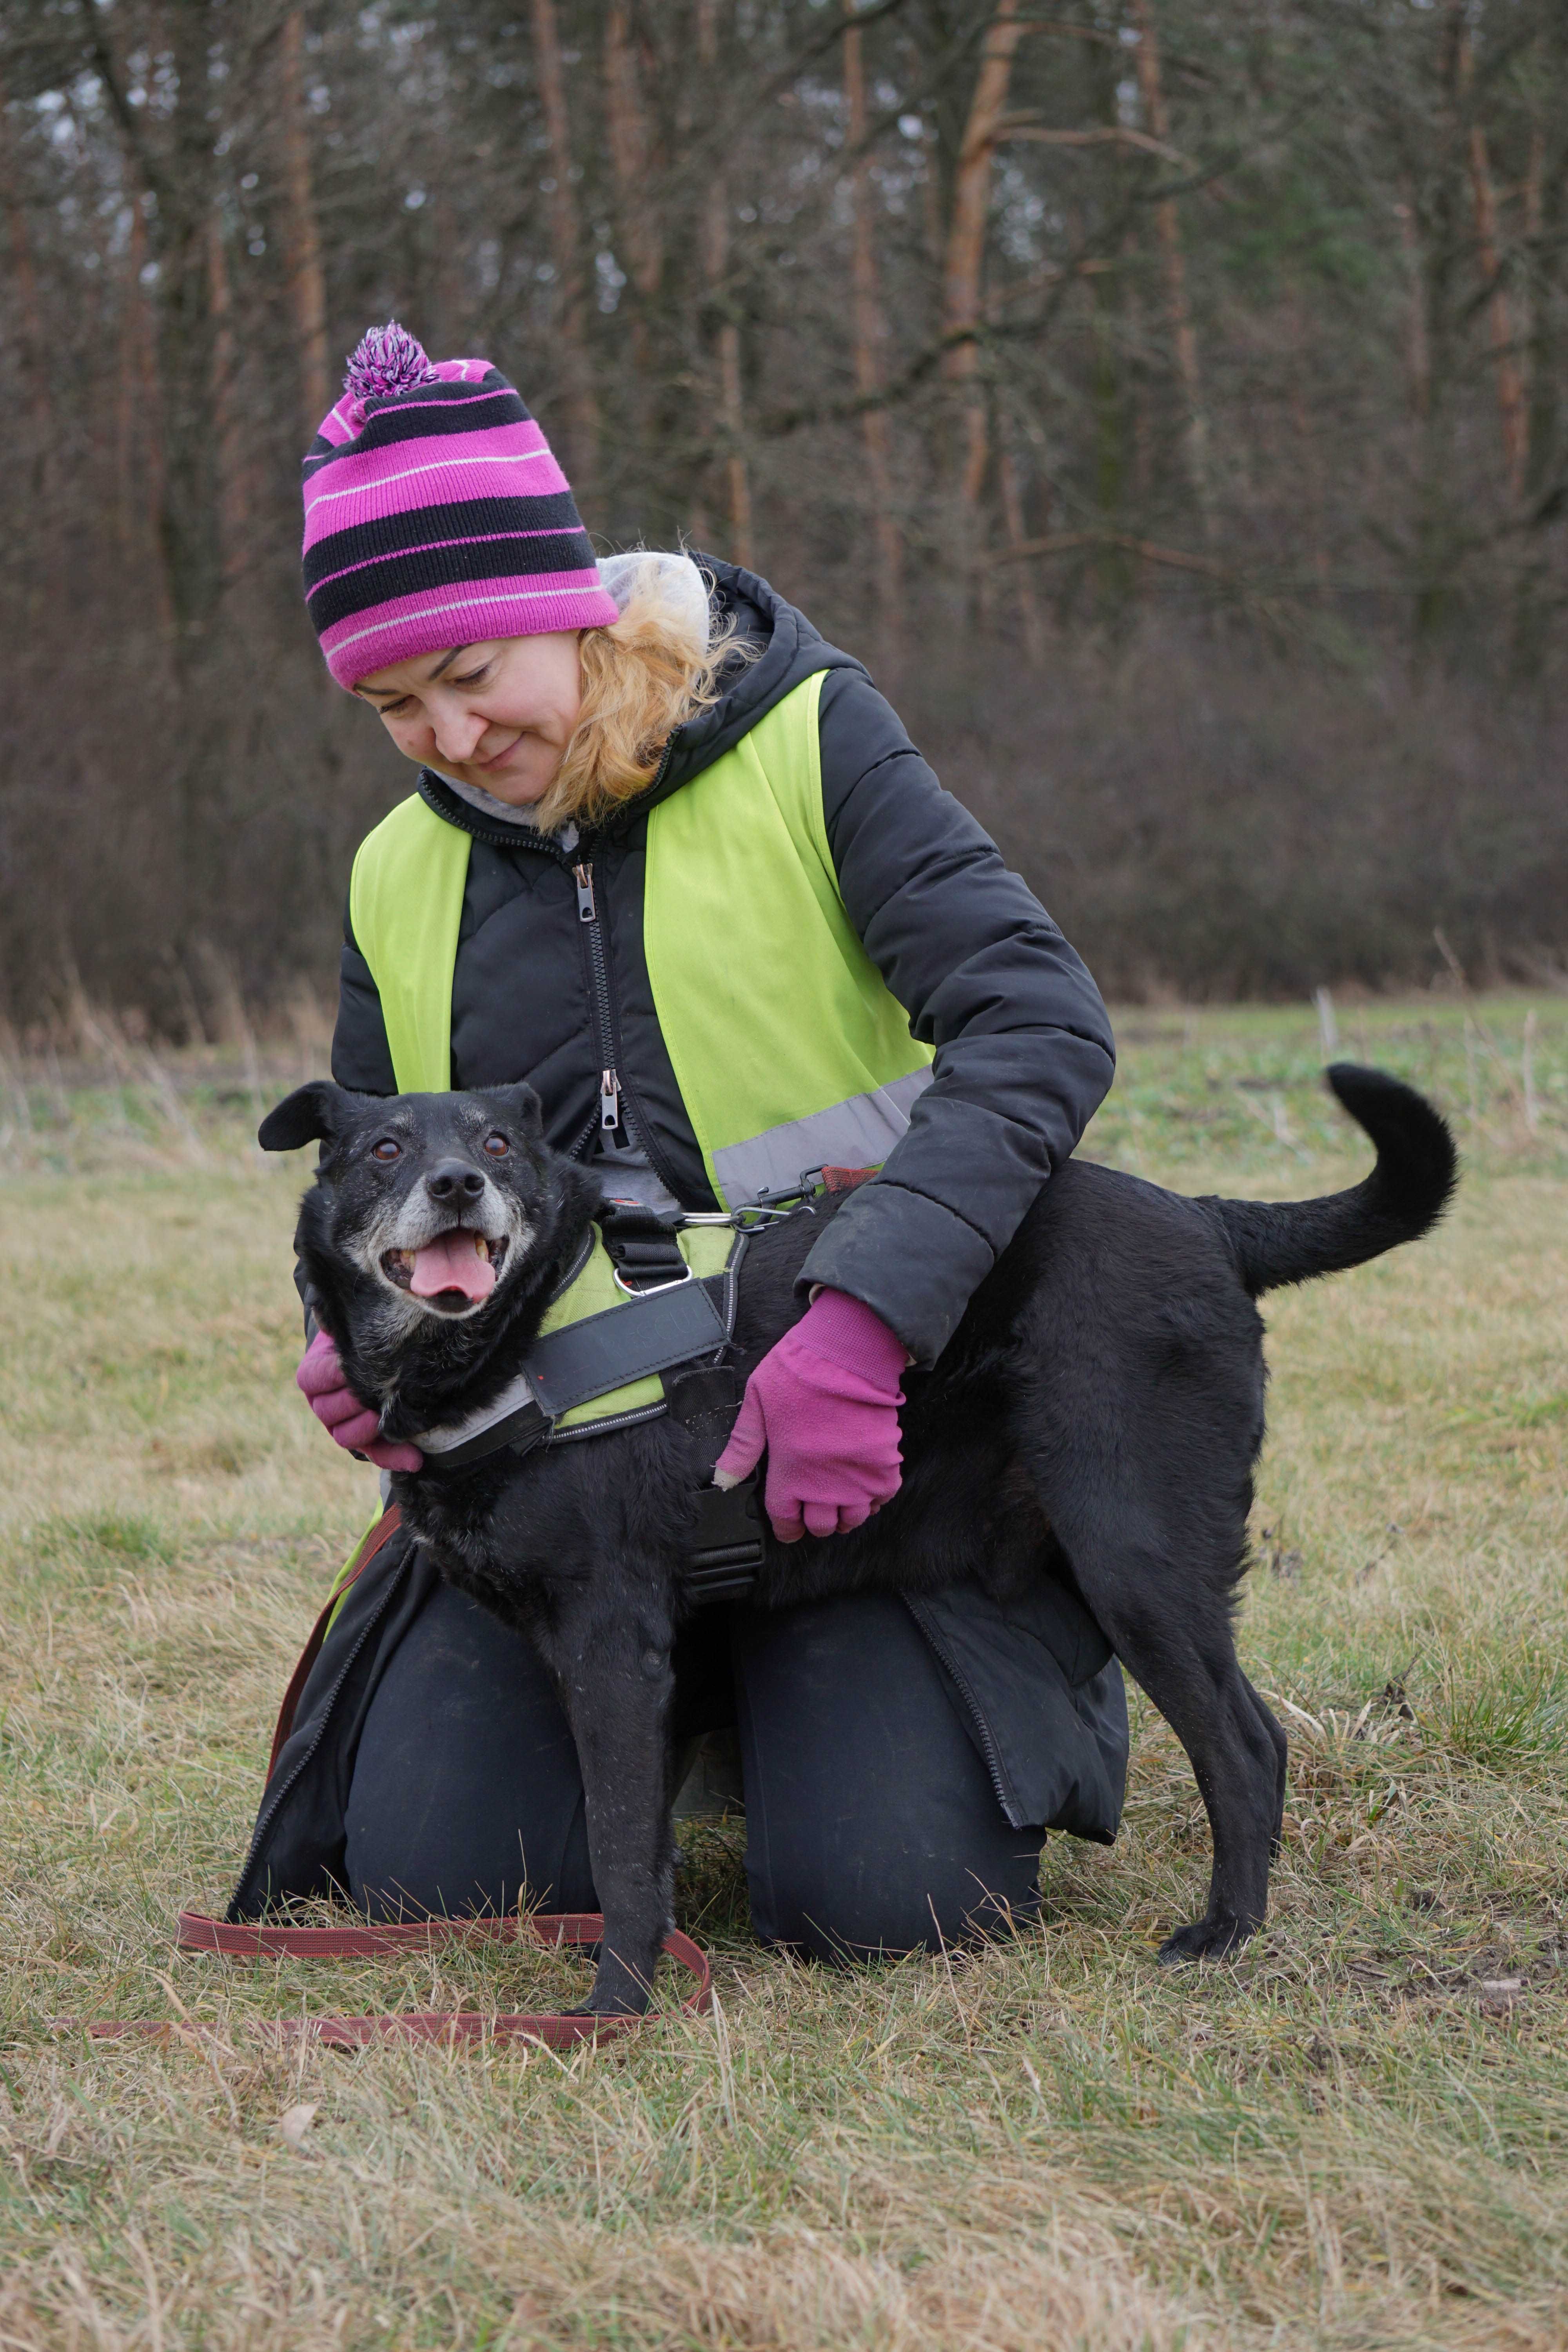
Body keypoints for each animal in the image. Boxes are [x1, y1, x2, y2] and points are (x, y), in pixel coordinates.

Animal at [261, 1077, 1457, 2013]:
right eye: (385, 1147)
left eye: (498, 1145)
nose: (458, 1185)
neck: (525, 1332)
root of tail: (1209, 1220)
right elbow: (639, 1837)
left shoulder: (612, 1641)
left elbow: (618, 1844)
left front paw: (618, 2004)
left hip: (1137, 1553)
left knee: (1246, 1747)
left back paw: (1224, 1934)